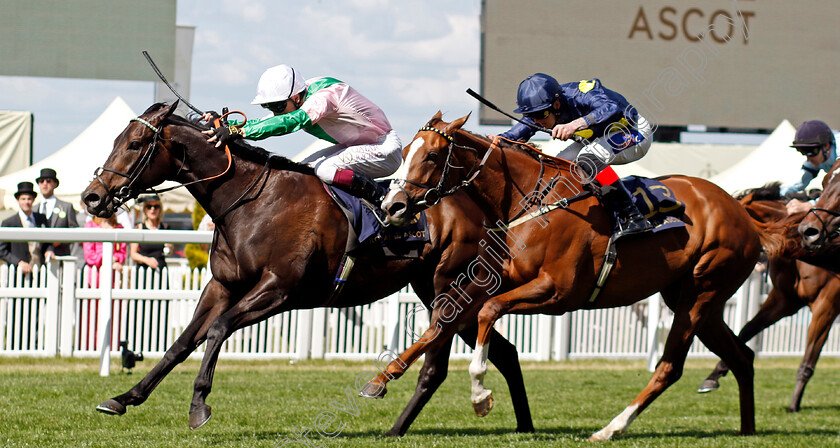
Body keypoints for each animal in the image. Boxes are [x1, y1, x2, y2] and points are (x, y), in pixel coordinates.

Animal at [80, 101, 532, 434]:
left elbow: (217, 330)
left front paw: (198, 405)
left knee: (436, 368)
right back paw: (523, 426)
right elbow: (182, 342)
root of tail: (491, 212)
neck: (252, 203)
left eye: (136, 143)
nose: (92, 197)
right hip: (444, 293)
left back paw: (396, 425)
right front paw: (124, 398)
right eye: (118, 139)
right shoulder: (222, 285)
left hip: (447, 293)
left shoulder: (280, 290)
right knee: (505, 352)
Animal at [364, 112, 776, 440]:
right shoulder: (499, 278)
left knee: (670, 368)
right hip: (693, 298)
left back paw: (611, 428)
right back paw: (747, 428)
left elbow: (487, 312)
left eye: (432, 155)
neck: (530, 201)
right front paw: (381, 379)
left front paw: (480, 396)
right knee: (742, 356)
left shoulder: (557, 292)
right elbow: (443, 322)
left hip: (700, 295)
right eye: (405, 153)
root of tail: (739, 209)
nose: (392, 207)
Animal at [700, 184, 840, 412]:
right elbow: (748, 329)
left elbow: (809, 359)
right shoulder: (785, 300)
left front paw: (793, 405)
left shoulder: (826, 304)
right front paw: (714, 376)